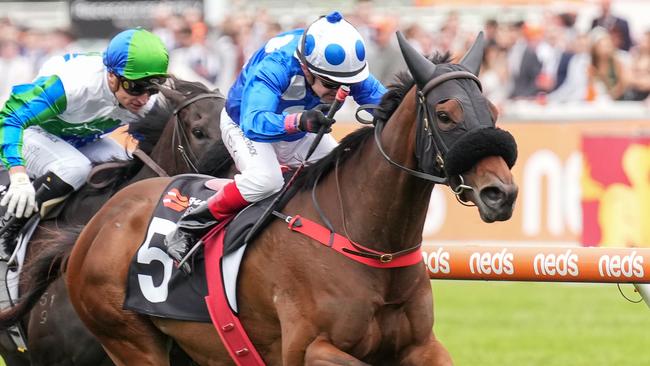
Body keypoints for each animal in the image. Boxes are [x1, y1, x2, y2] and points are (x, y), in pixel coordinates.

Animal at [66, 33, 520, 364]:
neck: (369, 241)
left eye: (494, 112)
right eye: (444, 115)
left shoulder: (422, 346)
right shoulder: (307, 348)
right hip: (130, 340)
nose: (501, 193)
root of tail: (99, 221)